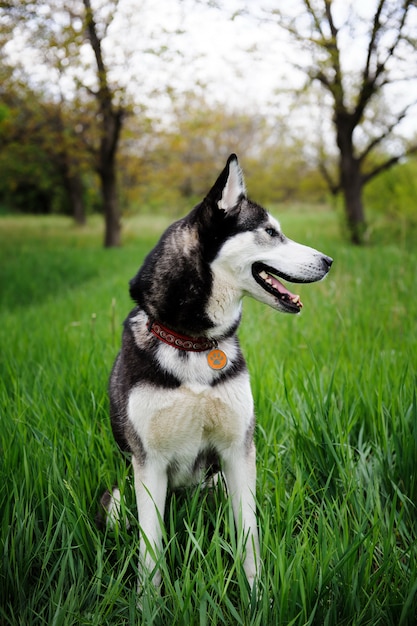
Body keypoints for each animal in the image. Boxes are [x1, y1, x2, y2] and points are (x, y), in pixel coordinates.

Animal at [104, 154, 332, 592]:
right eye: (271, 232)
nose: (329, 261)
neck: (193, 344)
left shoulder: (238, 453)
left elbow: (249, 535)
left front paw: (257, 595)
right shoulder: (149, 464)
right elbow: (150, 551)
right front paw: (147, 601)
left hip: (217, 480)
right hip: (117, 497)